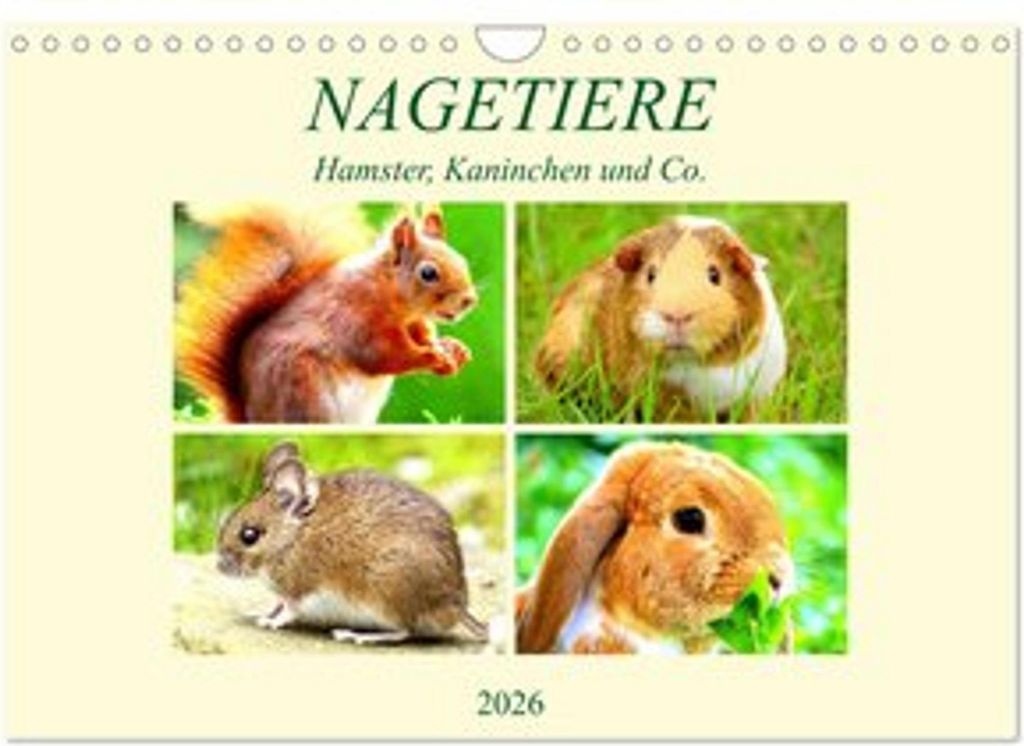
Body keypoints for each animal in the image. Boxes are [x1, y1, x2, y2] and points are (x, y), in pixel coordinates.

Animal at [217, 441, 487, 645]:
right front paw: (258, 613)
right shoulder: (283, 592)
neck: (293, 536)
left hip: (384, 595)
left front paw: (269, 622)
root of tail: (456, 608)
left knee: (403, 631)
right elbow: (276, 604)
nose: (219, 567)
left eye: (249, 535)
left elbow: (288, 611)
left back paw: (355, 635)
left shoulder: (300, 588)